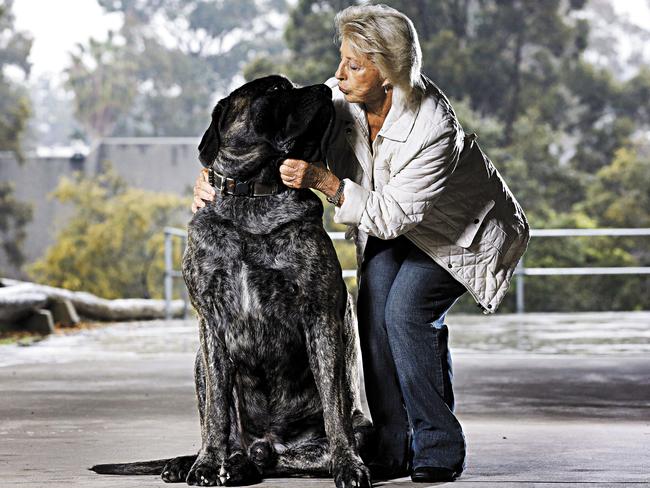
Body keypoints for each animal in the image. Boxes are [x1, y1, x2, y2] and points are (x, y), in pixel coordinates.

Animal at [93, 74, 372, 486]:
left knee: (277, 457)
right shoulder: (211, 325)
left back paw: (252, 461)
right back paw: (206, 462)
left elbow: (333, 405)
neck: (255, 194)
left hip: (351, 430)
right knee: (234, 437)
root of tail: (270, 440)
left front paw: (349, 465)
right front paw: (207, 463)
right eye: (275, 90)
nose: (325, 89)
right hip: (199, 361)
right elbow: (216, 413)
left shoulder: (320, 316)